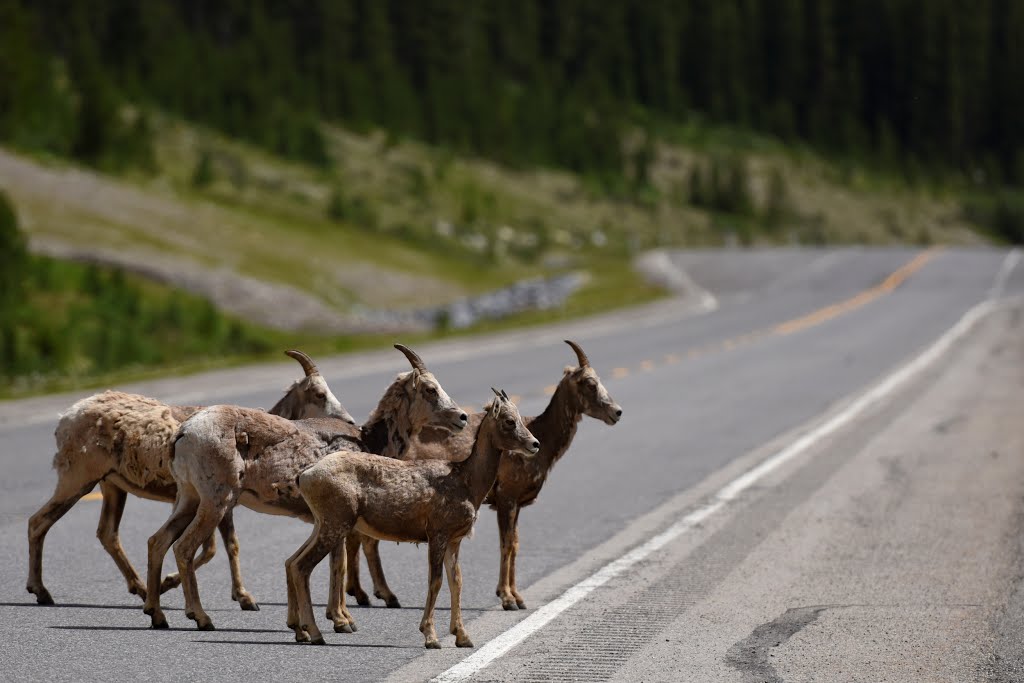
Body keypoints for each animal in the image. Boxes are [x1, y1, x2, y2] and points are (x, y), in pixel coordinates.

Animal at [24, 350, 352, 606]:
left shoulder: (216, 504)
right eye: (319, 394)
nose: (349, 421)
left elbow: (225, 546)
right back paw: (41, 592)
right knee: (38, 522)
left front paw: (238, 597)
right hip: (77, 481)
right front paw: (234, 596)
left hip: (112, 487)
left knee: (107, 534)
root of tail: (66, 418)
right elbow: (213, 548)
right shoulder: (215, 502)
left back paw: (139, 589)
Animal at [141, 344, 468, 634]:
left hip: (189, 498)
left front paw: (328, 619)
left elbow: (336, 562)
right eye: (430, 389)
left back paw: (157, 615)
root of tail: (184, 433)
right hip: (215, 501)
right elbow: (339, 564)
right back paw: (202, 618)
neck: (368, 443)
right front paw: (342, 622)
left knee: (158, 541)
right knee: (183, 548)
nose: (462, 417)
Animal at [284, 387, 540, 651]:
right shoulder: (437, 534)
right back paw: (316, 634)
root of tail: (305, 475)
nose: (535, 444)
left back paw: (301, 632)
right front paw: (431, 637)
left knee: (291, 561)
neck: (467, 483)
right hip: (336, 523)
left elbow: (456, 581)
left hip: (322, 523)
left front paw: (463, 637)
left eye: (520, 418)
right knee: (303, 566)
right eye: (509, 421)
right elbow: (435, 581)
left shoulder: (455, 540)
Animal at [348, 339, 618, 610]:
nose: (617, 412)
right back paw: (383, 596)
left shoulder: (516, 504)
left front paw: (517, 597)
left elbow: (515, 543)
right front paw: (508, 599)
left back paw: (362, 594)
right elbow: (506, 544)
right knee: (366, 539)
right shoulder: (507, 499)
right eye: (589, 383)